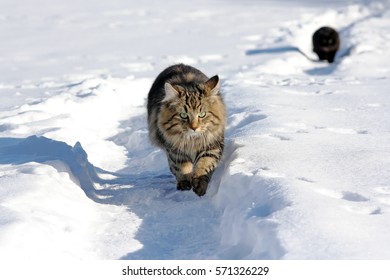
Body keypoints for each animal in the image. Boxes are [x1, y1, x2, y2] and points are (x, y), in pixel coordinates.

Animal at [146, 63, 225, 196]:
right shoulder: (175, 149)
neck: (192, 141)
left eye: (202, 114)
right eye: (183, 115)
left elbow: (204, 164)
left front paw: (199, 185)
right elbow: (181, 167)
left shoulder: (211, 145)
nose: (194, 127)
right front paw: (185, 184)